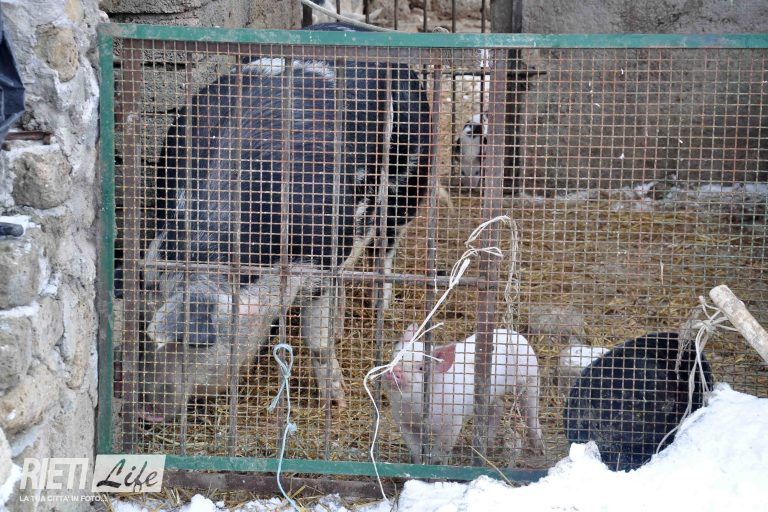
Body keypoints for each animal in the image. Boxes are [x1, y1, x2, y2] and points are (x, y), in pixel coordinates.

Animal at [137, 27, 431, 423]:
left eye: (194, 343)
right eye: (142, 328)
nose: (146, 411)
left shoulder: (322, 256)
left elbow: (317, 339)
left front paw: (335, 402)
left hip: (409, 181)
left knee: (386, 247)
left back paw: (378, 307)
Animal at [383, 324, 545, 464]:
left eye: (421, 368)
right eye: (395, 357)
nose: (394, 371)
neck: (415, 407)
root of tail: (516, 334)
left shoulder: (452, 422)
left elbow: (440, 453)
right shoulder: (403, 421)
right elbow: (415, 450)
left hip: (530, 377)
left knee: (531, 412)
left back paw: (539, 450)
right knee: (498, 407)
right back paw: (487, 446)